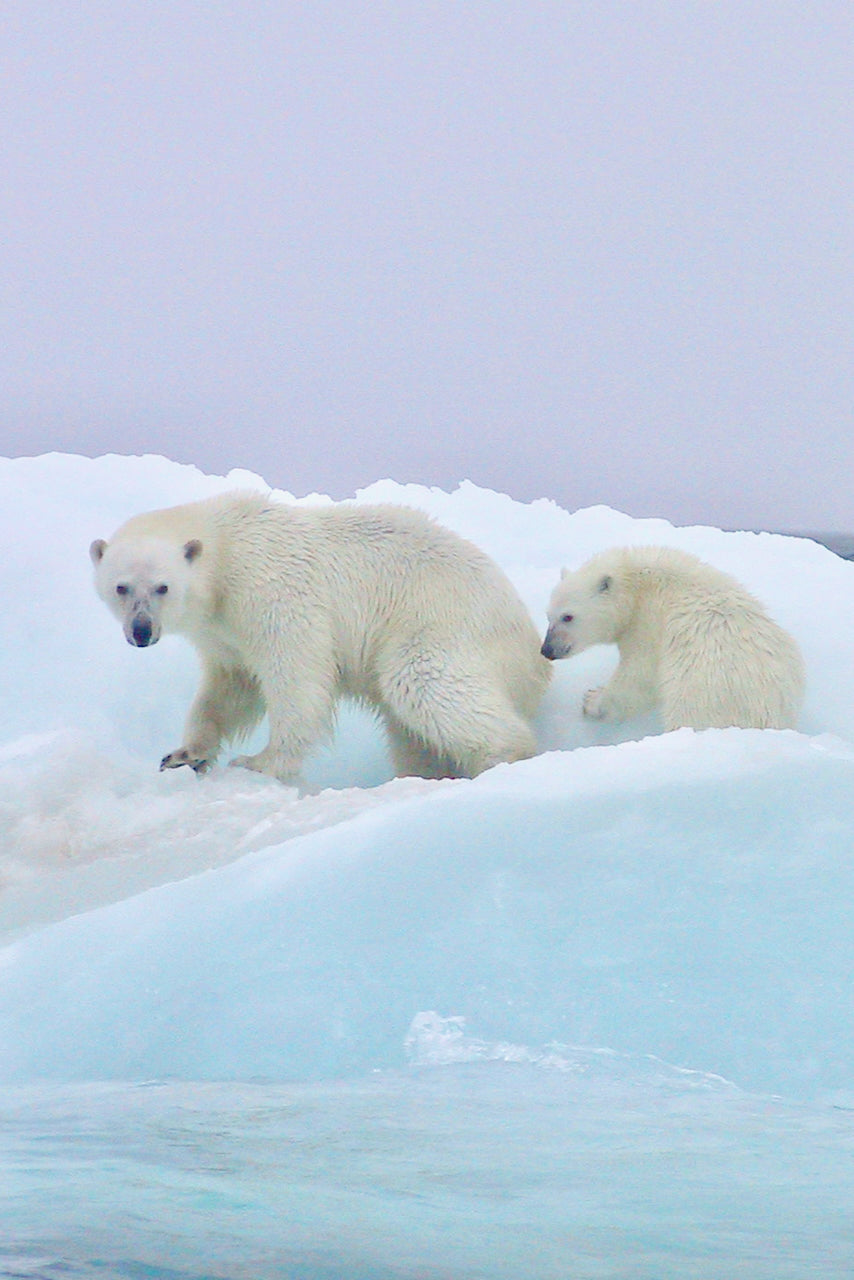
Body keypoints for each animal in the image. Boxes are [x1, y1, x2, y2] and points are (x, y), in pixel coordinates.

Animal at [90, 494, 550, 783]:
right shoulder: (224, 632)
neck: (225, 547)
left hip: (441, 624)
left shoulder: (271, 590)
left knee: (423, 682)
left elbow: (296, 674)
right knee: (411, 732)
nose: (141, 631)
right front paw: (185, 754)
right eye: (121, 587)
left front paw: (259, 762)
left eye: (163, 587)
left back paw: (503, 756)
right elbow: (230, 689)